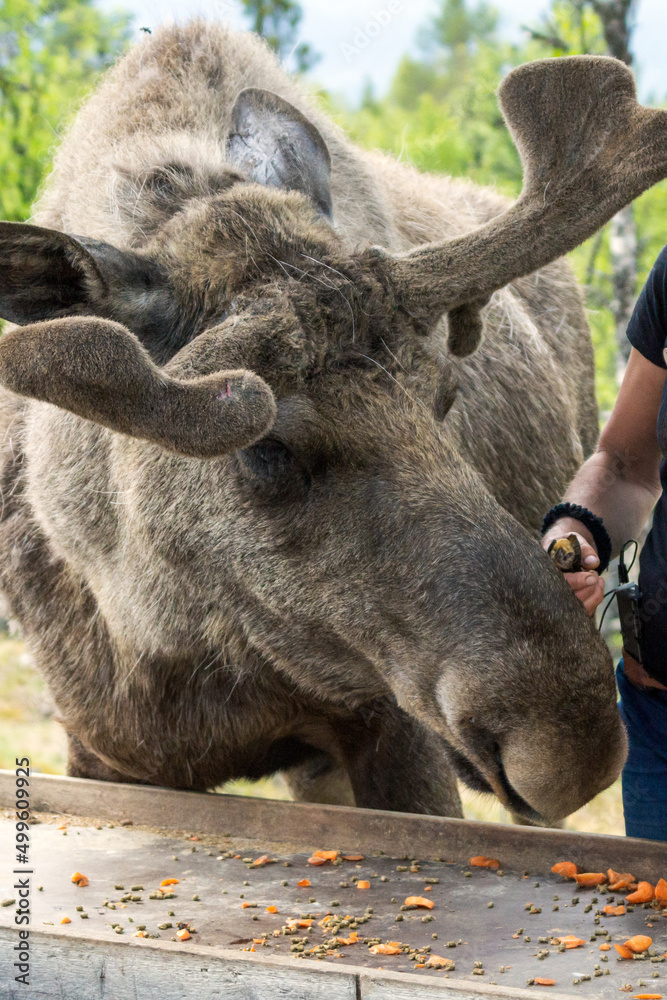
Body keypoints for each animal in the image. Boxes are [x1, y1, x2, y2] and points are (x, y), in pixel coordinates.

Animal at [1, 21, 666, 826]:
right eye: (264, 448)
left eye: (445, 394)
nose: (572, 748)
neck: (155, 626)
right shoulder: (105, 752)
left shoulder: (391, 733)